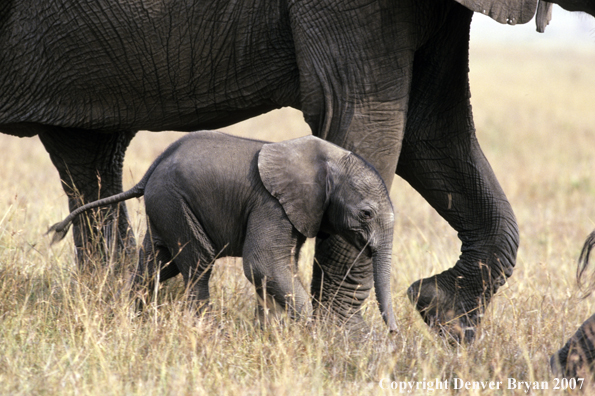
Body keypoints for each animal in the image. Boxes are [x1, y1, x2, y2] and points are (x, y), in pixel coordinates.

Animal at [47, 131, 400, 332]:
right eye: (366, 214)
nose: (394, 333)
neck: (329, 159)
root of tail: (151, 170)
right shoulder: (270, 204)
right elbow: (263, 265)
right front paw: (310, 333)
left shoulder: (298, 210)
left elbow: (279, 268)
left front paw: (272, 334)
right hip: (175, 202)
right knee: (198, 264)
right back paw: (208, 330)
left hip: (164, 206)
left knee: (157, 264)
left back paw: (132, 319)